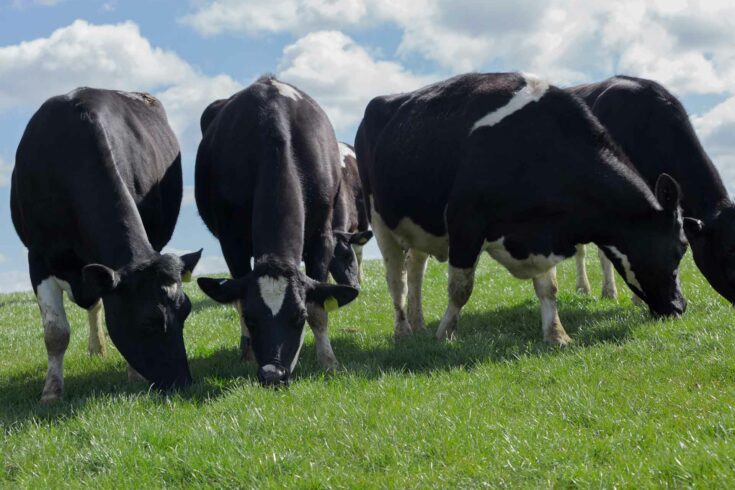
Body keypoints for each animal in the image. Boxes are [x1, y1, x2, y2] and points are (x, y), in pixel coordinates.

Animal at [9, 89, 204, 402]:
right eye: (149, 321)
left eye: (186, 311)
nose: (182, 383)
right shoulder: (37, 257)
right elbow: (55, 333)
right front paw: (51, 391)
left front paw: (135, 375)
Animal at [194, 75, 358, 386]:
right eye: (253, 318)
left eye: (298, 317)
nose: (273, 374)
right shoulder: (231, 241)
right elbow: (238, 298)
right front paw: (247, 357)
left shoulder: (322, 236)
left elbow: (319, 308)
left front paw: (328, 361)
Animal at [356, 72, 688, 344]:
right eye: (680, 248)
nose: (679, 306)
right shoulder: (465, 221)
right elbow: (461, 288)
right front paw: (446, 333)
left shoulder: (545, 229)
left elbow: (548, 287)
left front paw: (557, 334)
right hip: (381, 221)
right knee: (396, 280)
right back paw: (403, 330)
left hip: (421, 227)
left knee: (415, 270)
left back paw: (419, 323)